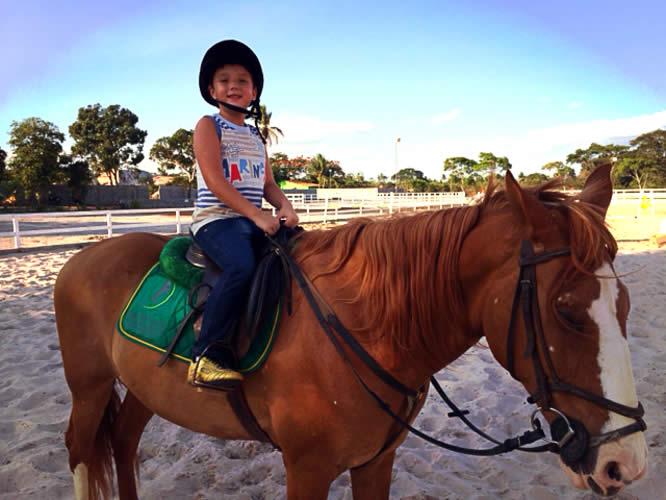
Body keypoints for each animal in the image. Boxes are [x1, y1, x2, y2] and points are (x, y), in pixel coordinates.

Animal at [54, 166, 644, 498]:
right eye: (567, 311)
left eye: (626, 306)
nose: (626, 464)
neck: (364, 328)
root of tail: (83, 258)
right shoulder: (307, 471)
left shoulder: (376, 462)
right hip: (90, 387)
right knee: (81, 449)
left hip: (141, 389)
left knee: (123, 442)